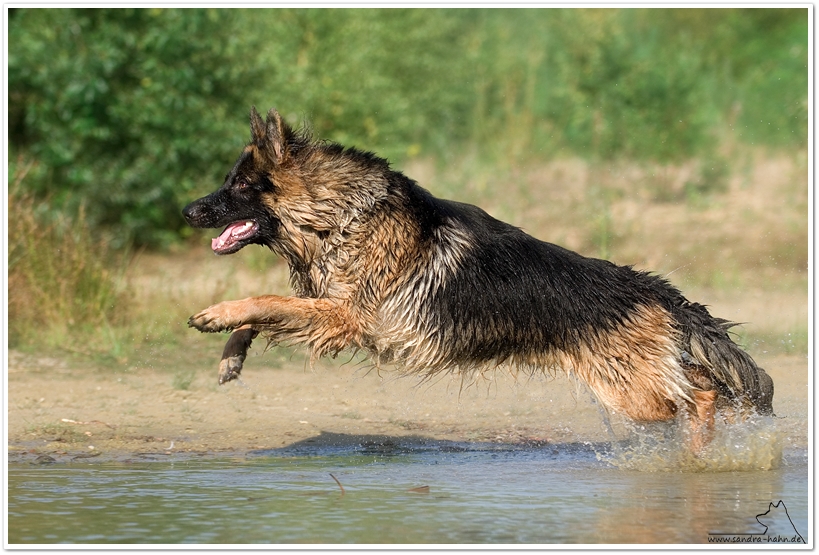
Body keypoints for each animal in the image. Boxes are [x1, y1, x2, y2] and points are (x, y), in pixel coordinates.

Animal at [184, 105, 776, 452]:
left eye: (238, 186)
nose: (188, 211)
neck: (341, 214)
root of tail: (656, 290)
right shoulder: (328, 306)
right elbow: (270, 310)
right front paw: (231, 355)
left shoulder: (345, 315)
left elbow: (265, 299)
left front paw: (217, 315)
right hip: (637, 387)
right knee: (703, 387)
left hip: (632, 395)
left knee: (701, 396)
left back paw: (703, 453)